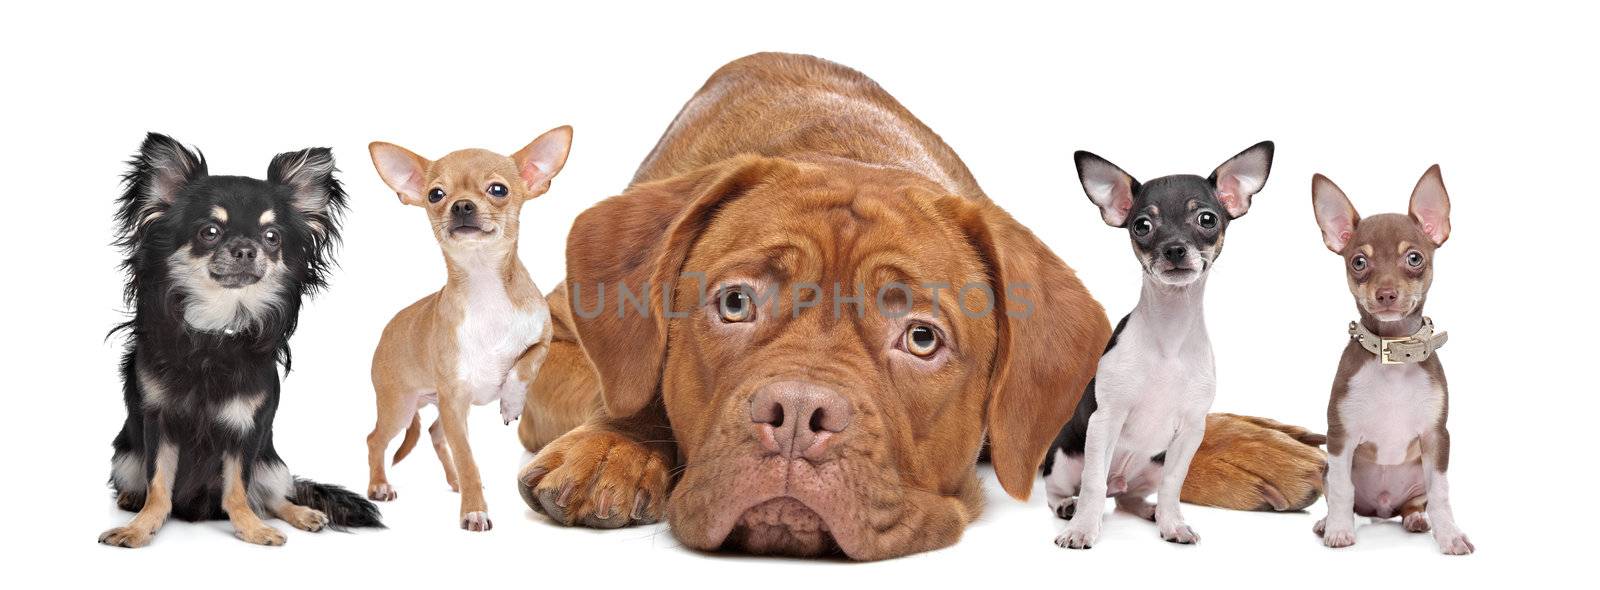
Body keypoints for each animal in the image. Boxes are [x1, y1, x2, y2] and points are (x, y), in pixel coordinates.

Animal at [515, 52, 1324, 559]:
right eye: (735, 303)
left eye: (922, 338)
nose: (798, 416)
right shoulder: (553, 344)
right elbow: (626, 386)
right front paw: (614, 449)